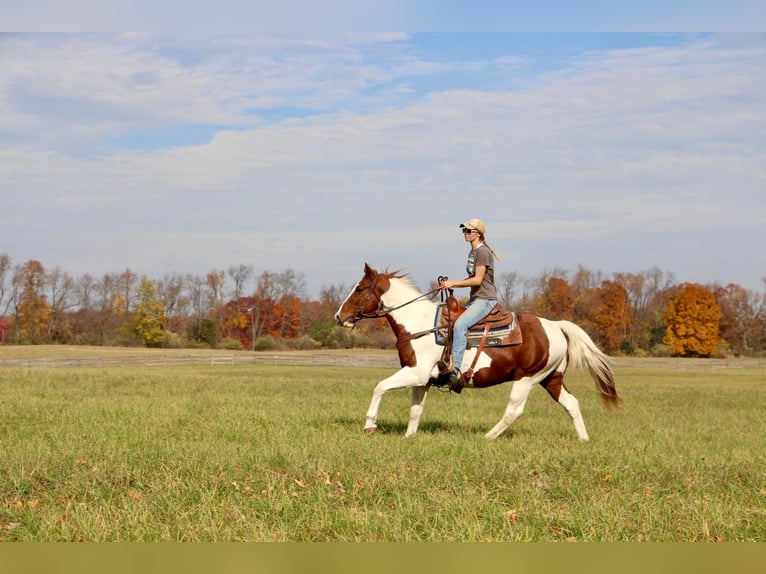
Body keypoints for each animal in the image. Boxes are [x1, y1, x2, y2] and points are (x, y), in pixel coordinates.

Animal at [336, 264, 624, 444]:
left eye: (359, 289)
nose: (340, 316)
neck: (418, 323)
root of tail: (555, 325)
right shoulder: (422, 380)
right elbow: (416, 410)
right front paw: (409, 437)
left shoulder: (415, 373)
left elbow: (380, 387)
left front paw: (369, 425)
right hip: (551, 378)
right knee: (572, 404)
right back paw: (583, 440)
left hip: (528, 378)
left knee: (514, 410)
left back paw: (488, 436)